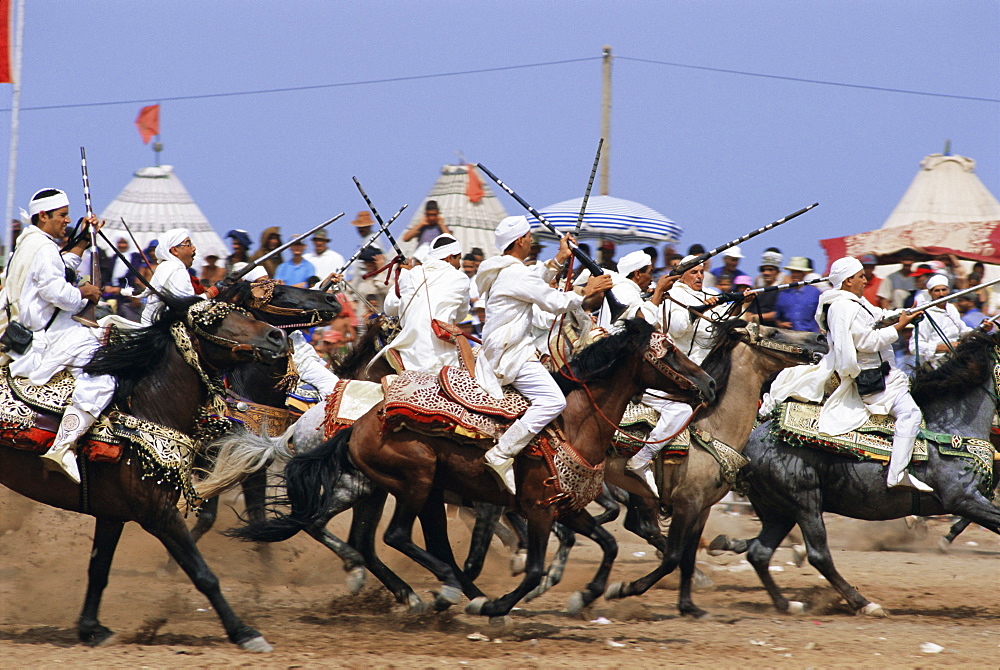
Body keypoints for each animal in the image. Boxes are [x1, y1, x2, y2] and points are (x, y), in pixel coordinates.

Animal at [0, 296, 288, 652]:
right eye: (215, 320)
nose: (277, 336)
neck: (147, 409)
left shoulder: (112, 514)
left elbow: (99, 568)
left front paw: (91, 629)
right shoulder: (158, 512)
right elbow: (204, 575)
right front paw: (245, 632)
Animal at [728, 330, 1000, 620]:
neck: (949, 432)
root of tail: (749, 442)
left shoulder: (970, 500)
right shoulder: (962, 498)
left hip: (777, 510)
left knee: (759, 553)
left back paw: (786, 603)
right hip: (804, 502)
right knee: (818, 555)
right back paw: (865, 604)